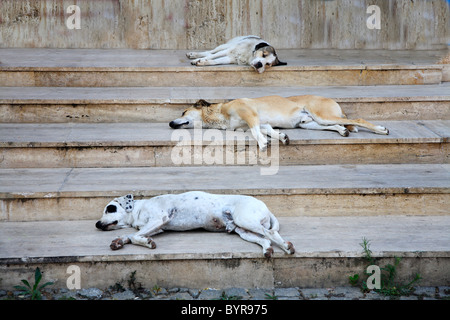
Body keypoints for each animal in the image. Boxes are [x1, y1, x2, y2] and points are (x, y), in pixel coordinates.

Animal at [95, 191, 296, 258]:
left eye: (109, 209)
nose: (97, 224)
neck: (138, 209)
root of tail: (266, 207)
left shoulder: (159, 219)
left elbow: (136, 236)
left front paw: (145, 242)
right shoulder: (157, 228)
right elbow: (130, 235)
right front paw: (119, 241)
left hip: (244, 220)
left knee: (271, 234)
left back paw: (287, 247)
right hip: (243, 230)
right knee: (265, 239)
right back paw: (267, 250)